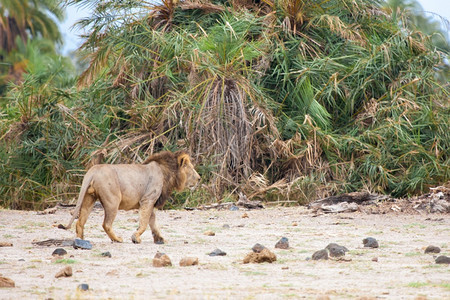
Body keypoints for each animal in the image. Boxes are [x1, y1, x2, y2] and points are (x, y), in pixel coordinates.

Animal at [62, 150, 200, 244]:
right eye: (192, 168)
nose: (199, 178)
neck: (168, 172)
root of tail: (93, 170)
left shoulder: (151, 202)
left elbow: (153, 222)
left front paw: (160, 239)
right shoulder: (148, 199)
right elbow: (144, 223)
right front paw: (136, 238)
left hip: (89, 198)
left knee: (80, 222)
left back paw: (81, 240)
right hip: (113, 201)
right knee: (106, 224)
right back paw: (117, 239)